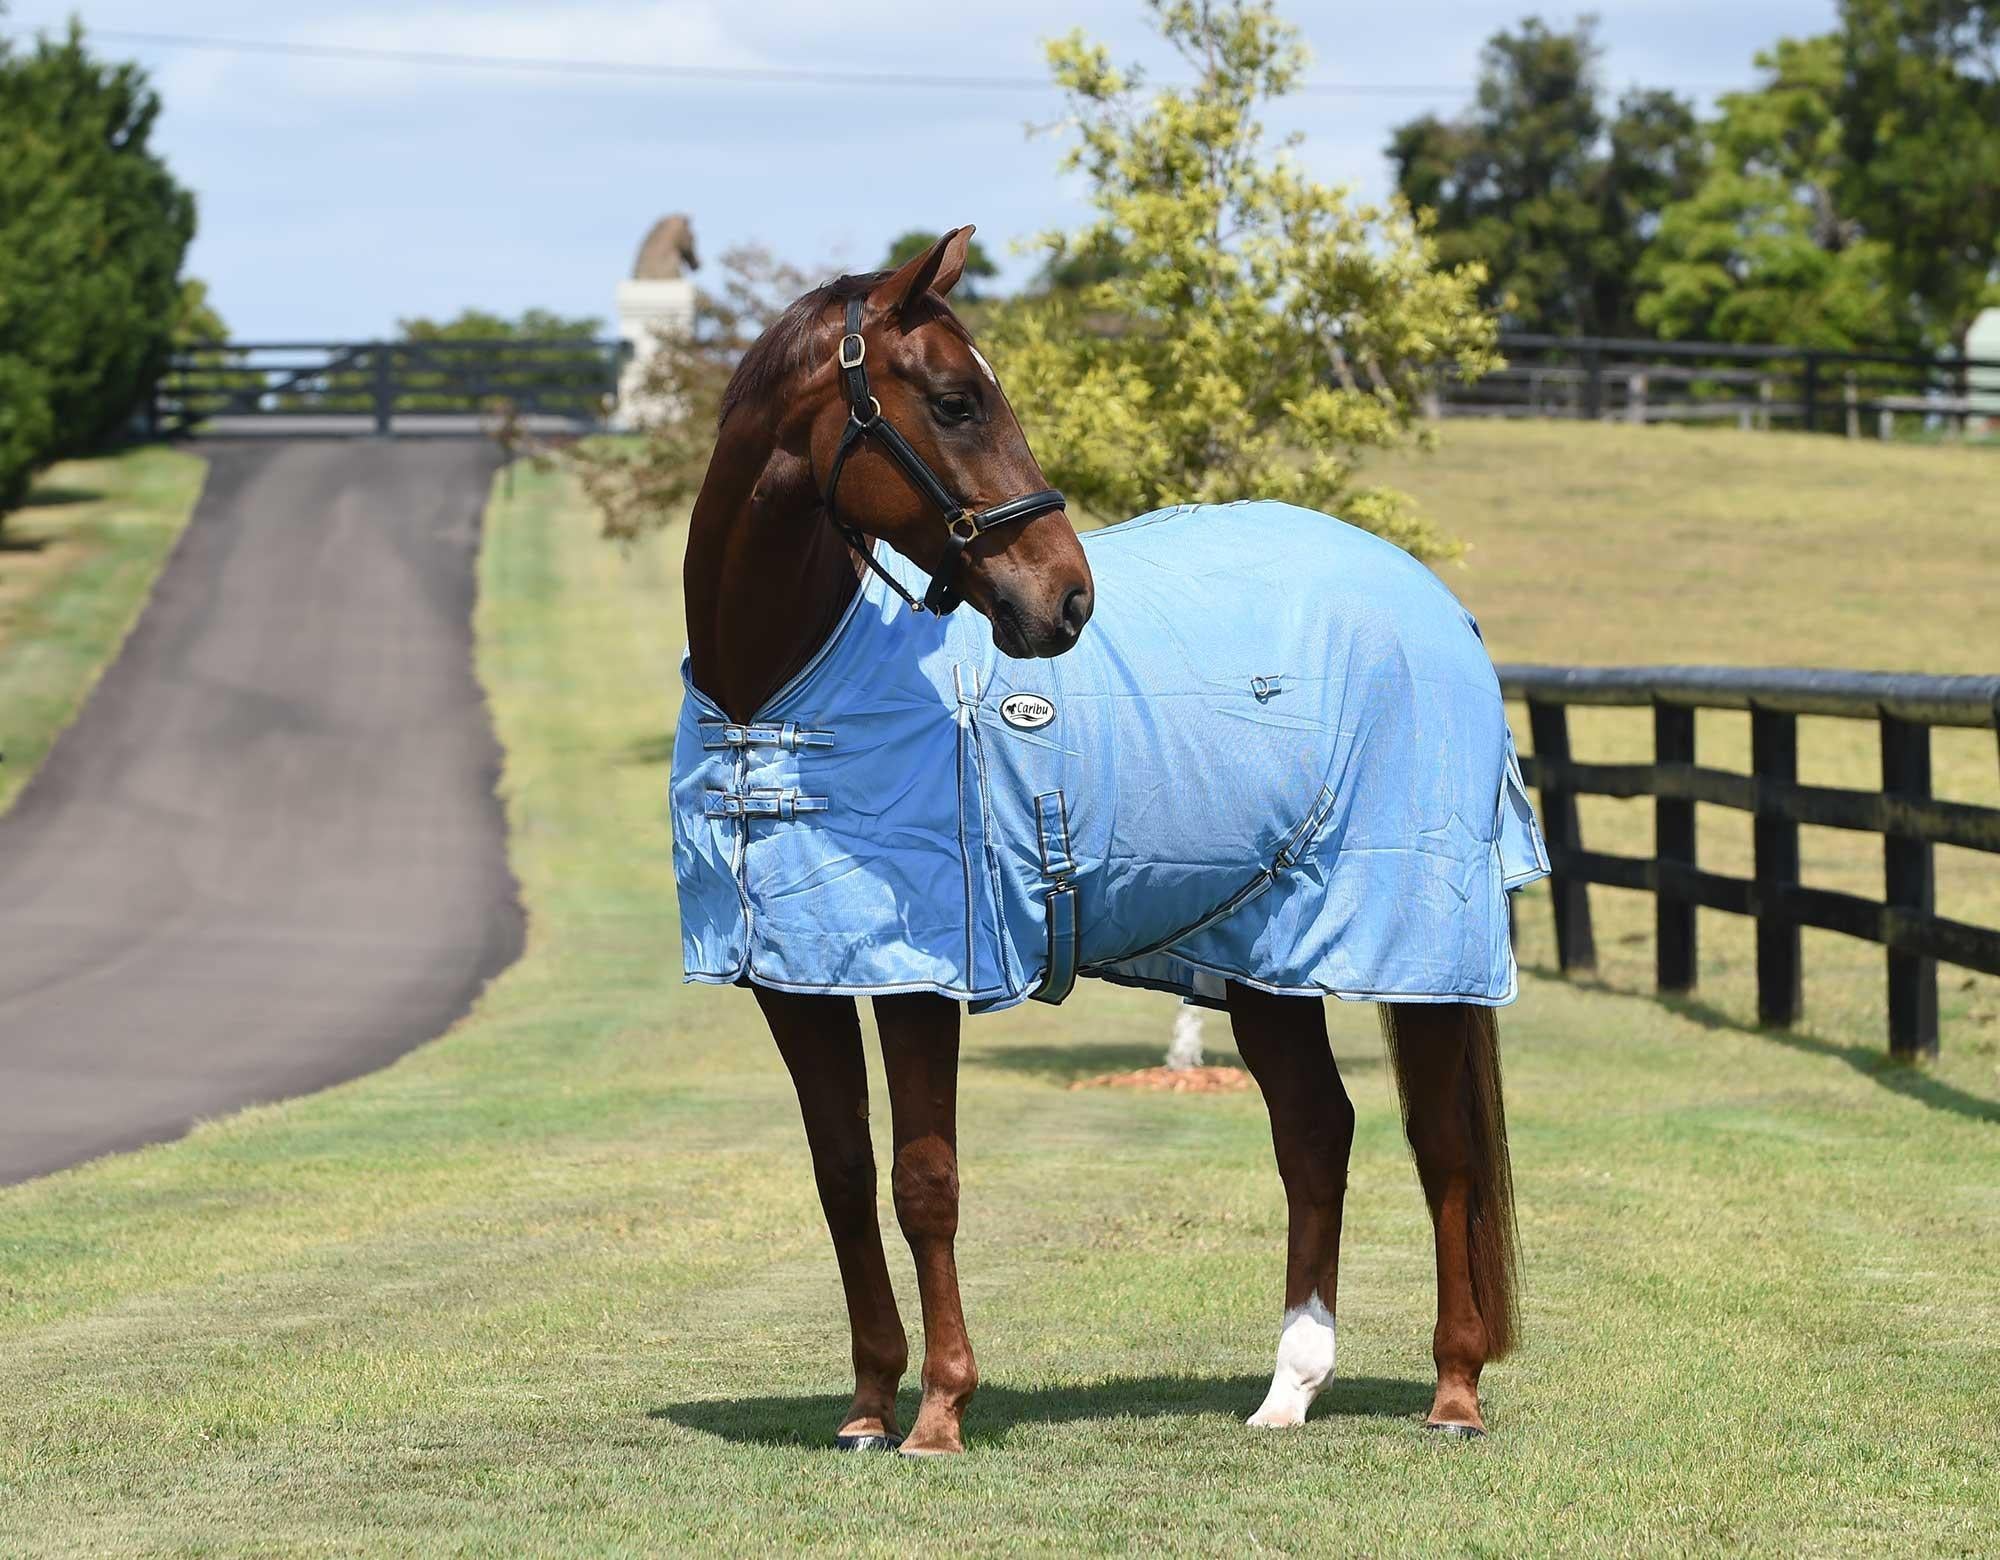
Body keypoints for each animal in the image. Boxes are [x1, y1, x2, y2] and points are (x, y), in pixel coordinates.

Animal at [673, 226, 1544, 1455]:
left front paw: (939, 1411)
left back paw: (1454, 1393)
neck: (778, 694)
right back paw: (1289, 1390)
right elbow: (843, 1175)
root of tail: (1437, 605)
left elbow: (925, 1180)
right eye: (952, 402)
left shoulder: (928, 973)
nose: (1067, 600)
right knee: (1314, 1134)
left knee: (1444, 1149)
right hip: (1262, 953)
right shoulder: (794, 981)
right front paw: (865, 1409)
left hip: (1415, 943)